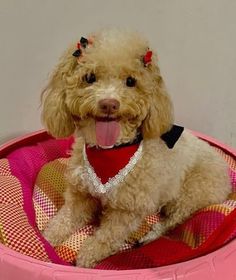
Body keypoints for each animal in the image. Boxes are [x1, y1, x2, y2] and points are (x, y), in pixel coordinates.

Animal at [40, 28, 230, 266]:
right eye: (89, 78)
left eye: (131, 81)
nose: (109, 104)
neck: (111, 150)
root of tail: (226, 173)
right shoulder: (80, 195)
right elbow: (63, 220)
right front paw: (45, 241)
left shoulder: (126, 211)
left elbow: (107, 237)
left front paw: (86, 258)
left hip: (190, 194)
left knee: (172, 221)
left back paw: (149, 236)